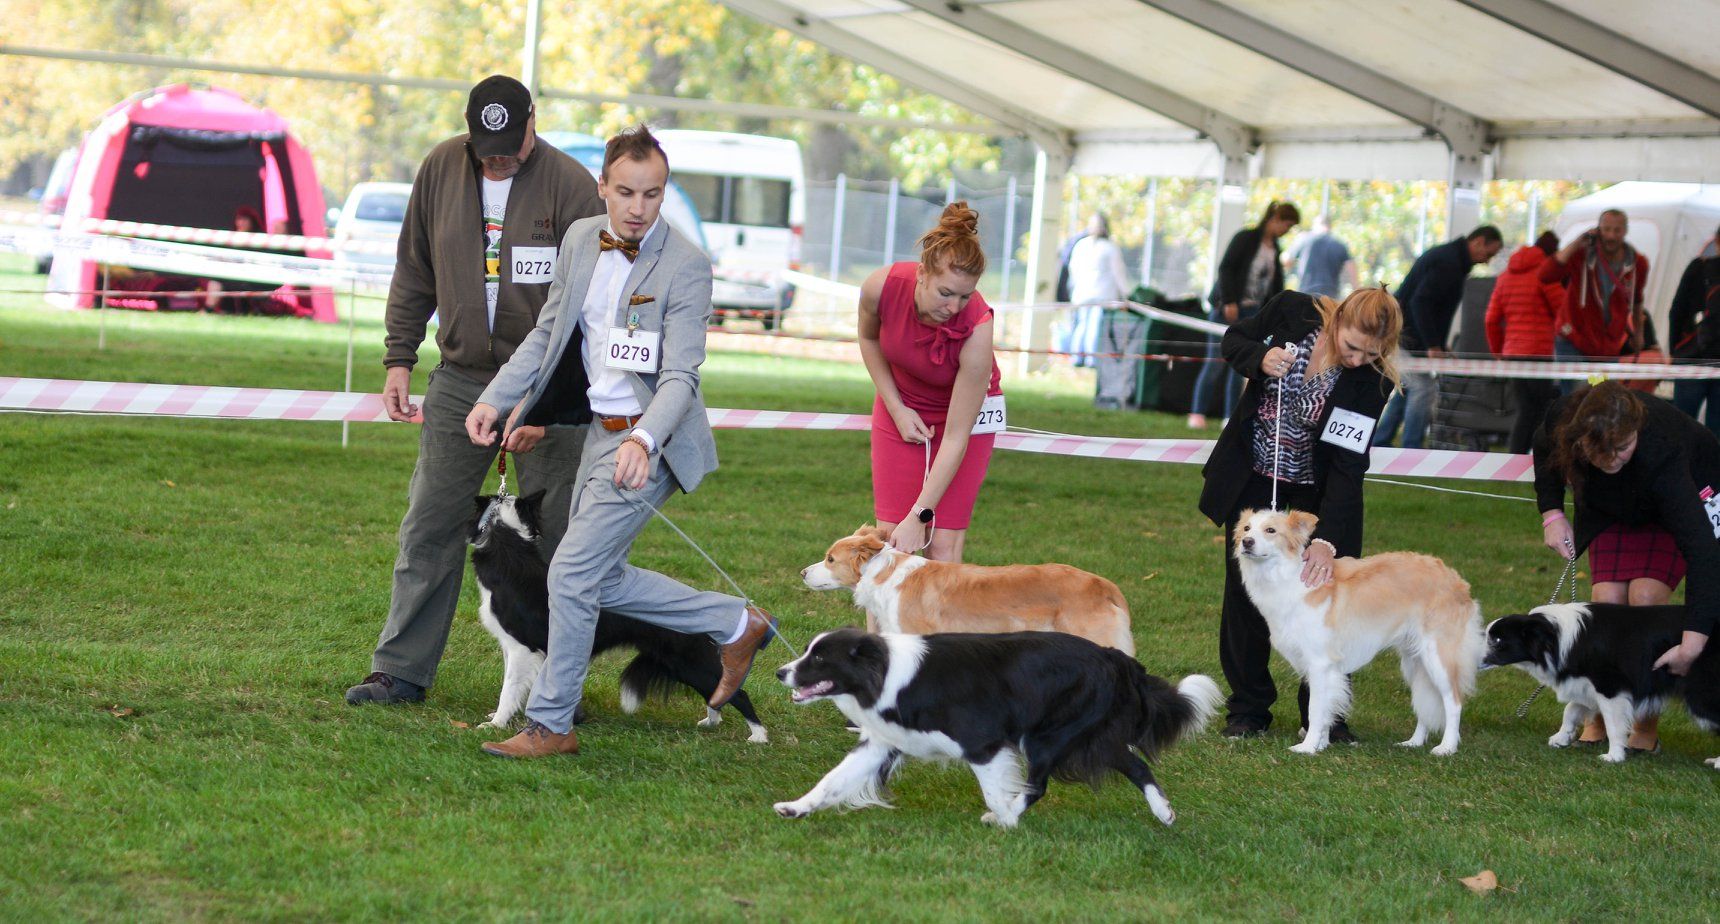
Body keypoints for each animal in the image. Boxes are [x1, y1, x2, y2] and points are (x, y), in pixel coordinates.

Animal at [471, 488, 767, 743]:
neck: (508, 548)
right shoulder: (513, 646)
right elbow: (514, 684)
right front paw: (503, 717)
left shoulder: (524, 647)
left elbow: (509, 687)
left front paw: (494, 724)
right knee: (717, 694)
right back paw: (711, 723)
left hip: (689, 663)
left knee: (738, 692)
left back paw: (758, 737)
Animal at [770, 629, 1224, 825]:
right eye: (807, 652)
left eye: (819, 659)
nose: (780, 672)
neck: (887, 672)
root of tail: (1114, 656)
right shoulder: (881, 743)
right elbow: (833, 779)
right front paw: (797, 807)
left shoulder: (982, 743)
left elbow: (994, 788)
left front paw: (1004, 816)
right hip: (1083, 735)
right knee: (1136, 764)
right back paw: (1164, 812)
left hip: (1046, 736)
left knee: (1039, 785)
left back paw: (1006, 817)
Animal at [1231, 509, 1486, 753]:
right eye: (1246, 528)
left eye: (1270, 530)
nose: (1246, 542)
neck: (1290, 578)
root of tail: (1456, 580)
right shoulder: (1327, 669)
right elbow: (1326, 710)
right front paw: (1321, 745)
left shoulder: (1319, 662)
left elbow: (1315, 710)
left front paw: (1307, 748)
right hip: (1415, 662)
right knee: (1423, 703)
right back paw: (1413, 743)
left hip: (1437, 657)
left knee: (1453, 702)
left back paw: (1447, 747)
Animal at [1486, 598, 1713, 763]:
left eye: (1497, 640)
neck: (1558, 639)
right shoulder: (1585, 684)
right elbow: (1571, 708)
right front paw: (1562, 737)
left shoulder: (1610, 686)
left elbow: (1613, 724)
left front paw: (1614, 756)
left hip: (1701, 693)